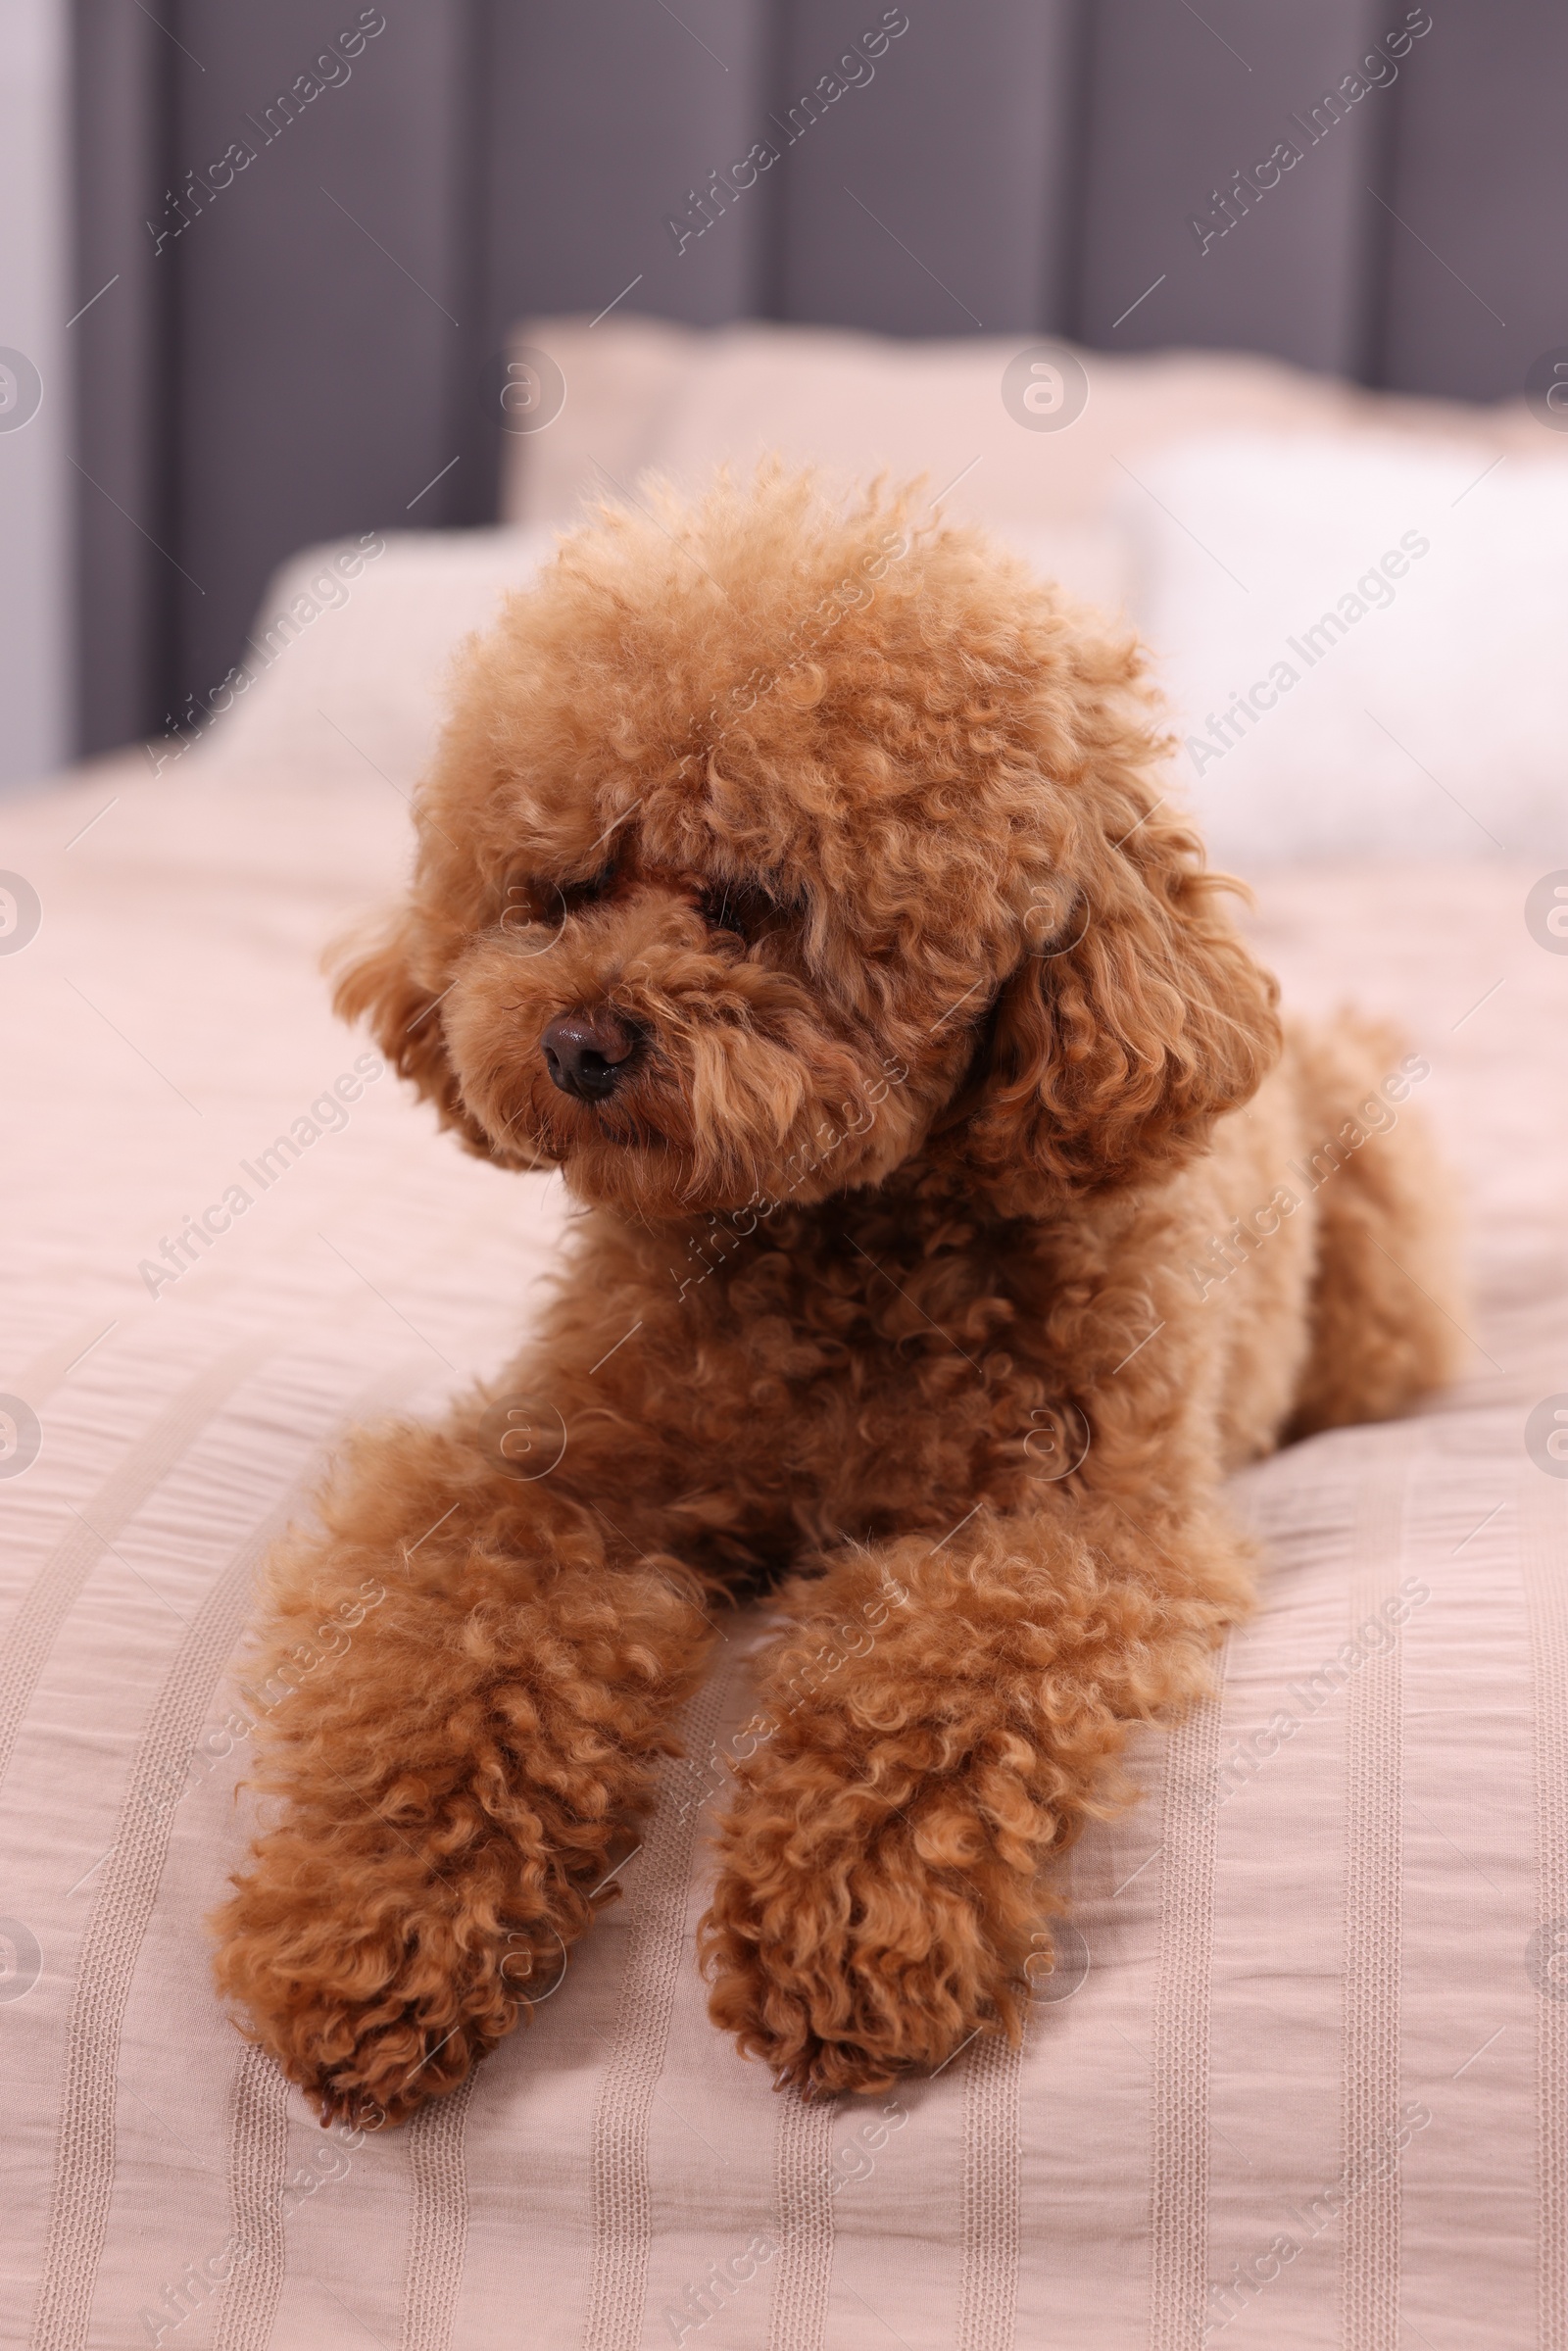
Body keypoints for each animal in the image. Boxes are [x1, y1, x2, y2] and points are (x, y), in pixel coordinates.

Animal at [205, 467, 1457, 2125]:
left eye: (752, 900)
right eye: (567, 886)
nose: (576, 1041)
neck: (823, 1246)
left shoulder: (1081, 1528)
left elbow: (927, 1673)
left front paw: (851, 1934)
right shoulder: (547, 1472)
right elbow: (452, 1647)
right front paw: (377, 1926)